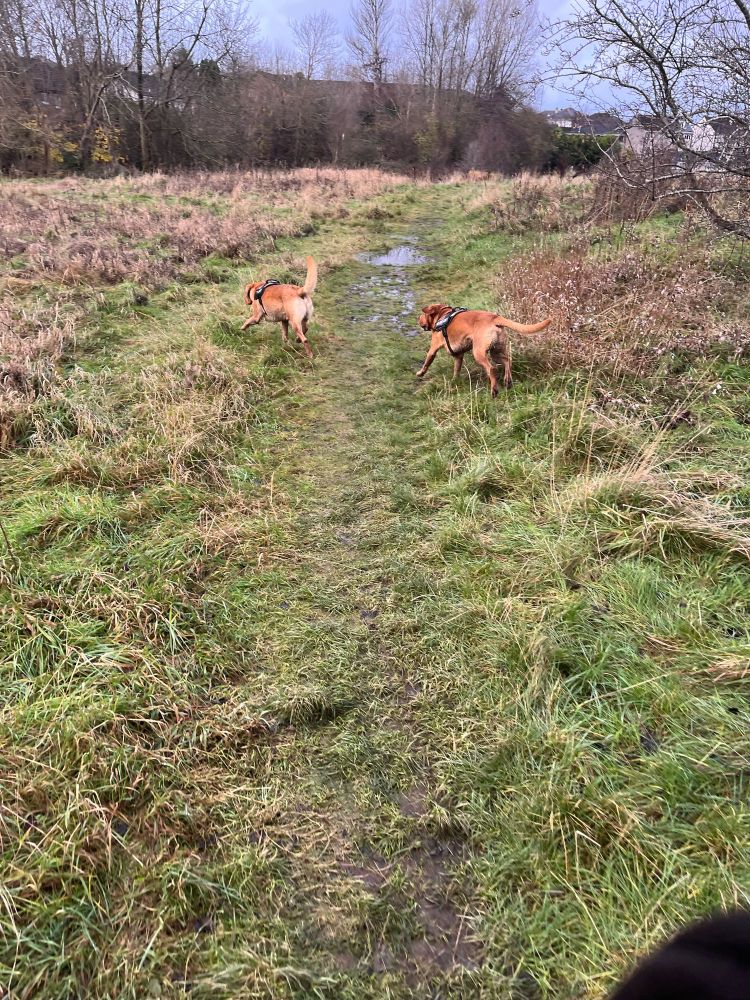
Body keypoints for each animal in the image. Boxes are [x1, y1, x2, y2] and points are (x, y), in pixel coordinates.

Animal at [416, 304, 552, 396]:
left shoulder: (433, 349)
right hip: (496, 351)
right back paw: (507, 380)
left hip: (478, 353)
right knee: (508, 361)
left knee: (491, 368)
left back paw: (494, 390)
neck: (443, 315)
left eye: (422, 315)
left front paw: (420, 373)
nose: (418, 319)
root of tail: (493, 317)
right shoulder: (458, 356)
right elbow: (457, 370)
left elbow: (426, 363)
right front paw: (454, 380)